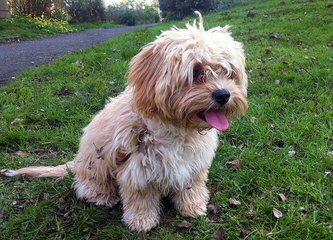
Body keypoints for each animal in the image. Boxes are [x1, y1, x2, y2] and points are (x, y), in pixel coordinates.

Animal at [1, 12, 248, 232]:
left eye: (227, 72)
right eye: (196, 72)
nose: (224, 95)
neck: (174, 130)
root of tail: (76, 163)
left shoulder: (193, 165)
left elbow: (191, 186)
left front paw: (192, 206)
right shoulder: (136, 169)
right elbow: (141, 198)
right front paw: (142, 221)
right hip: (95, 167)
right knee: (86, 187)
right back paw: (102, 196)